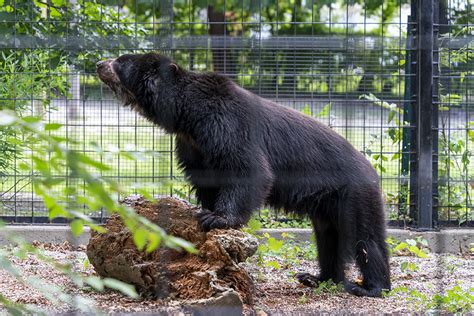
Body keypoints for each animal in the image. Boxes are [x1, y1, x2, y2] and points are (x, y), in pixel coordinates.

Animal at [97, 51, 392, 296]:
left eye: (121, 61)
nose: (99, 64)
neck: (188, 118)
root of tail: (371, 171)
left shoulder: (226, 124)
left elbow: (249, 169)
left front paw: (216, 218)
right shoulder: (194, 146)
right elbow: (206, 179)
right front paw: (205, 211)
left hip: (354, 194)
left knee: (366, 238)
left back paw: (370, 287)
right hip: (327, 206)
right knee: (329, 240)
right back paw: (317, 278)